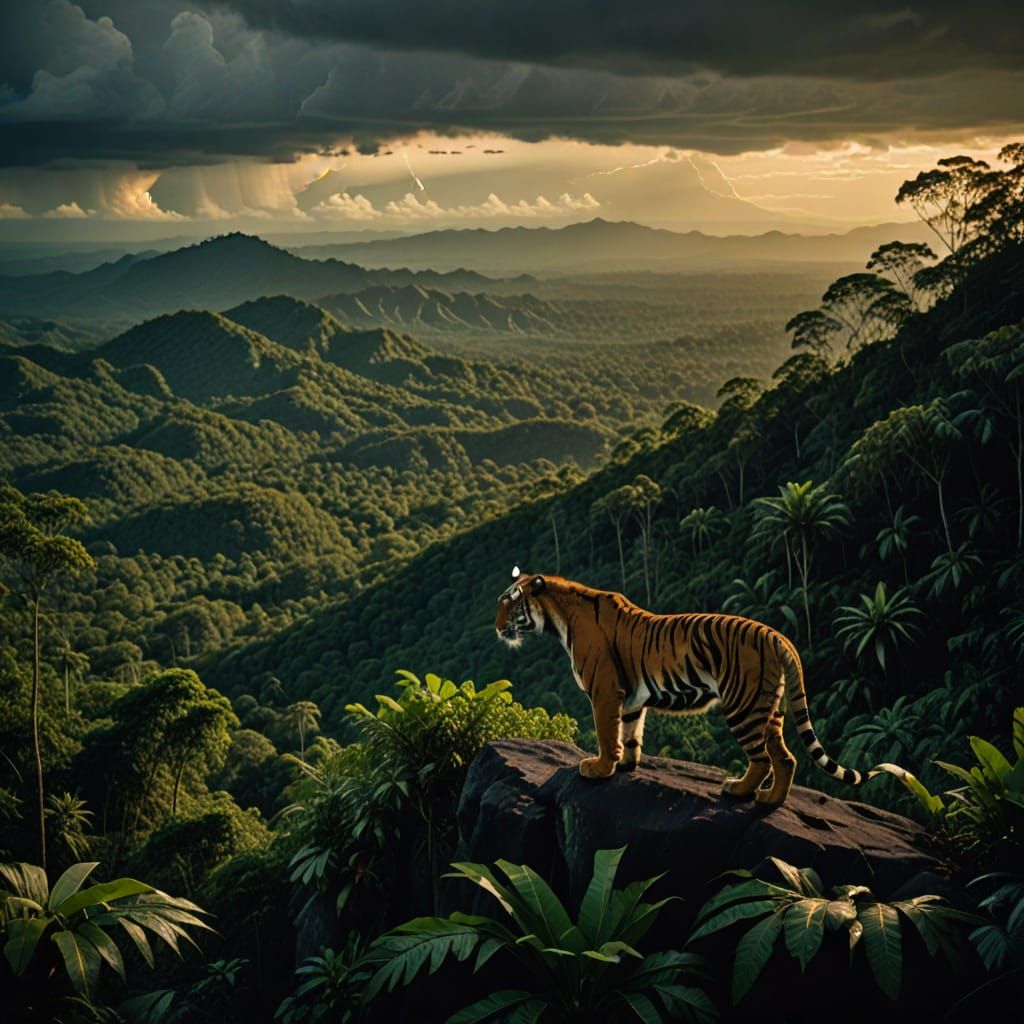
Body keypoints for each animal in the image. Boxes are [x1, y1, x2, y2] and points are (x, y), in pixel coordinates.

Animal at [494, 567, 902, 807]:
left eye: (509, 605)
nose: (496, 628)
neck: (559, 618)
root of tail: (778, 636)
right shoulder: (632, 699)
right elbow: (630, 732)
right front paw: (627, 764)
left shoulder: (605, 691)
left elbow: (607, 733)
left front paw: (600, 768)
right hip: (769, 708)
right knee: (786, 757)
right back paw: (770, 799)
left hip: (742, 705)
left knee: (762, 758)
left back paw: (738, 790)